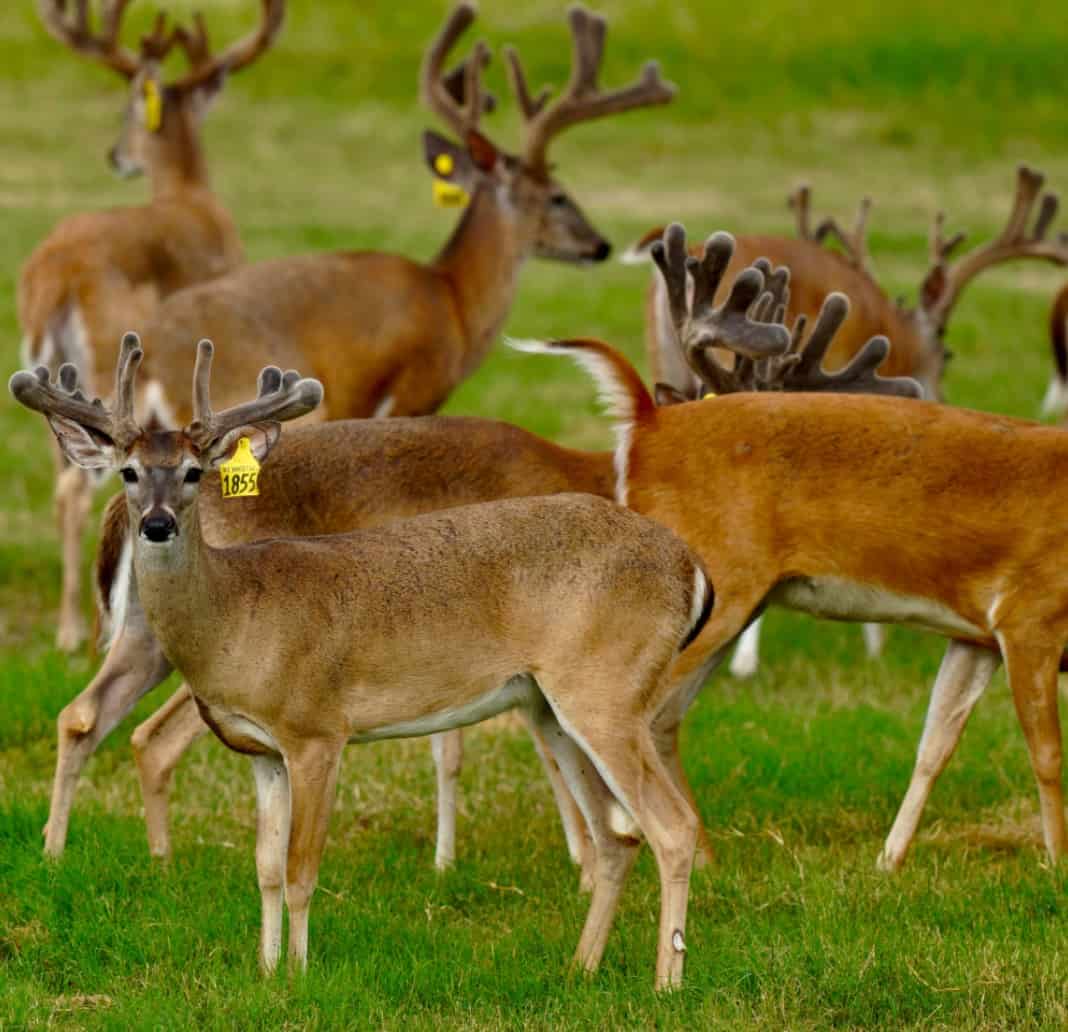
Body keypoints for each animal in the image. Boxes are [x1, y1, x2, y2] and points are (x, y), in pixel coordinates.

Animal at [11, 337, 715, 990]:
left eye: (191, 472)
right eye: (129, 472)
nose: (156, 525)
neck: (239, 612)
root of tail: (689, 568)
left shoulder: (318, 731)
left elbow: (301, 869)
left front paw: (297, 975)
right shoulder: (262, 751)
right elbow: (265, 869)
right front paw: (265, 970)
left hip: (605, 691)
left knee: (671, 825)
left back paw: (666, 982)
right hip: (550, 705)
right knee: (618, 835)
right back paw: (581, 967)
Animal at [20, 0, 284, 651]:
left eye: (125, 113)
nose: (115, 156)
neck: (192, 195)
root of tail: (56, 275)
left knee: (64, 477)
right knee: (78, 485)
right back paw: (74, 634)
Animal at [515, 222, 1068, 873]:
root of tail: (649, 424)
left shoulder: (975, 633)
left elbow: (935, 743)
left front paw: (888, 862)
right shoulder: (1032, 614)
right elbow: (1047, 755)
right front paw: (1057, 865)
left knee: (661, 717)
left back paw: (702, 856)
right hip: (710, 586)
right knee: (629, 713)